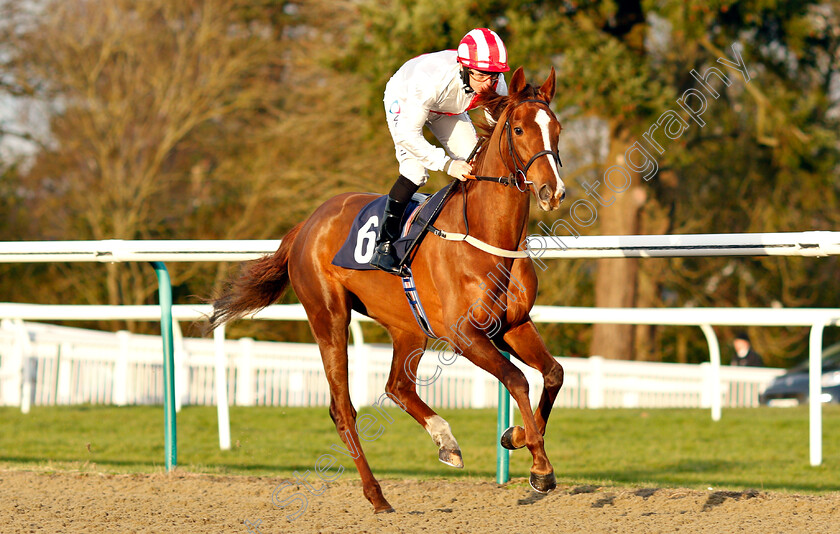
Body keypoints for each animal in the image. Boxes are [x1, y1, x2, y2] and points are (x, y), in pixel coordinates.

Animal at [207, 67, 568, 516]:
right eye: (518, 129)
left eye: (557, 129)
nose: (553, 191)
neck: (486, 235)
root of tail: (307, 224)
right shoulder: (465, 336)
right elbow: (517, 379)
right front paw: (540, 467)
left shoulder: (514, 325)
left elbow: (552, 374)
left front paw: (516, 436)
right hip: (329, 316)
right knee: (342, 408)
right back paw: (377, 495)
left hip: (407, 327)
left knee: (397, 387)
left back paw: (445, 441)